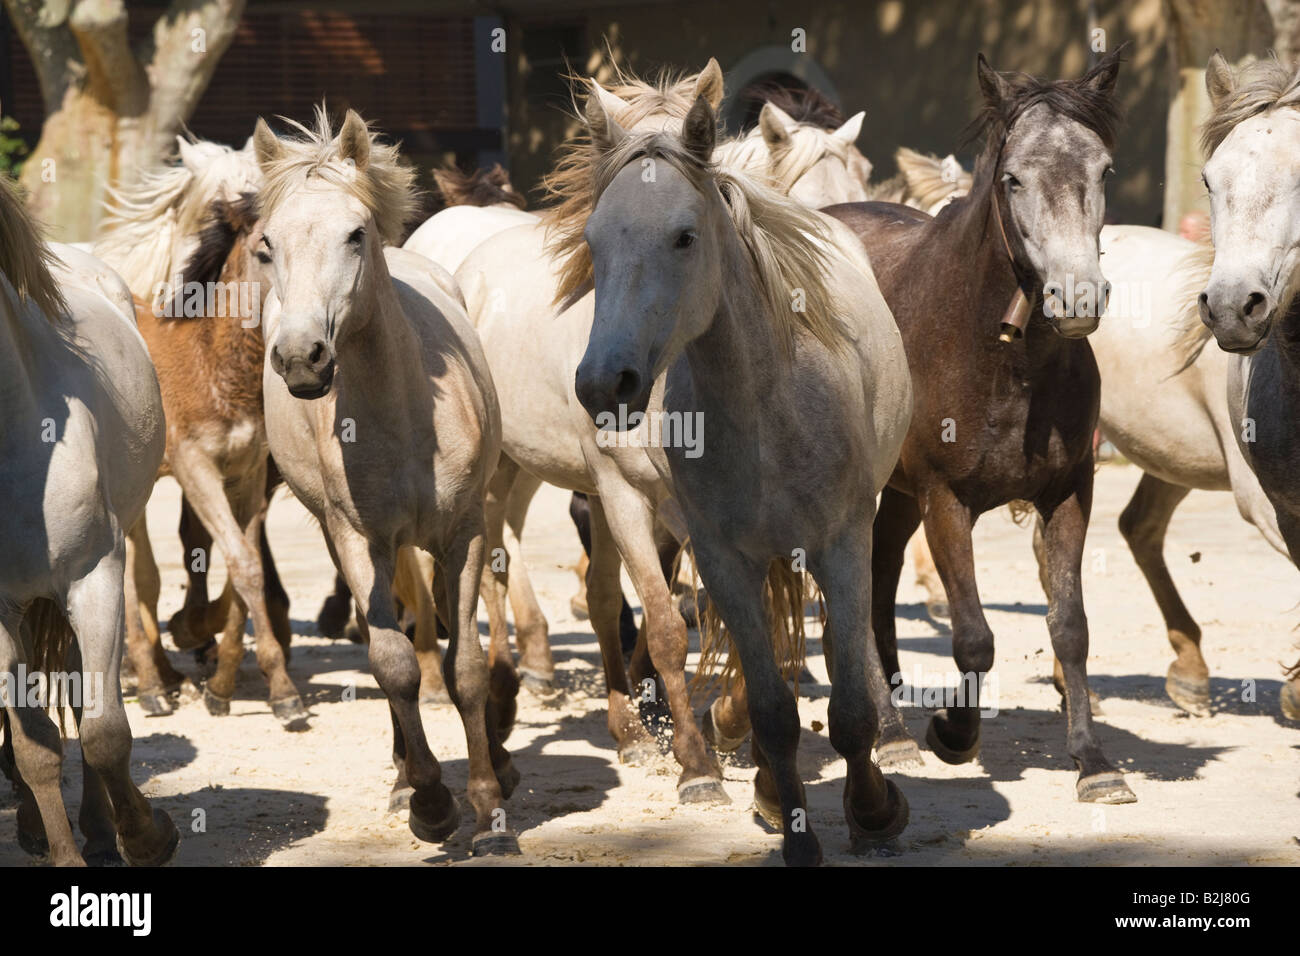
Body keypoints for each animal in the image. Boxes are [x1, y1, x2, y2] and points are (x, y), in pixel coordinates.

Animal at [0, 174, 179, 865]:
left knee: (83, 697)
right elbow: (34, 748)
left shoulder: (95, 577)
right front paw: (63, 854)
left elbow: (103, 731)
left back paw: (104, 831)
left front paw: (148, 837)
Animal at [252, 106, 520, 852]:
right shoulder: (357, 539)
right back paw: (406, 778)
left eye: (354, 234)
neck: (402, 415)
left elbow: (464, 667)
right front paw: (431, 802)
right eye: (266, 246)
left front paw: (488, 808)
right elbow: (393, 664)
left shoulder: (463, 534)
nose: (302, 357)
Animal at [568, 89, 912, 865]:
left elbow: (848, 706)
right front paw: (792, 827)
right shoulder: (724, 559)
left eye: (684, 237)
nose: (604, 382)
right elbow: (772, 707)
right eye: (594, 242)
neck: (766, 402)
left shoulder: (842, 545)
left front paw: (873, 809)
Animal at [825, 48, 1137, 804]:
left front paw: (1093, 762)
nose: (1077, 297)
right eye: (1013, 177)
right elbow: (972, 635)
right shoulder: (946, 499)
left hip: (895, 495)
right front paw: (953, 734)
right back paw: (895, 734)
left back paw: (890, 725)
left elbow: (1070, 626)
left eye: (1103, 171)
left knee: (876, 581)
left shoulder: (1068, 493)